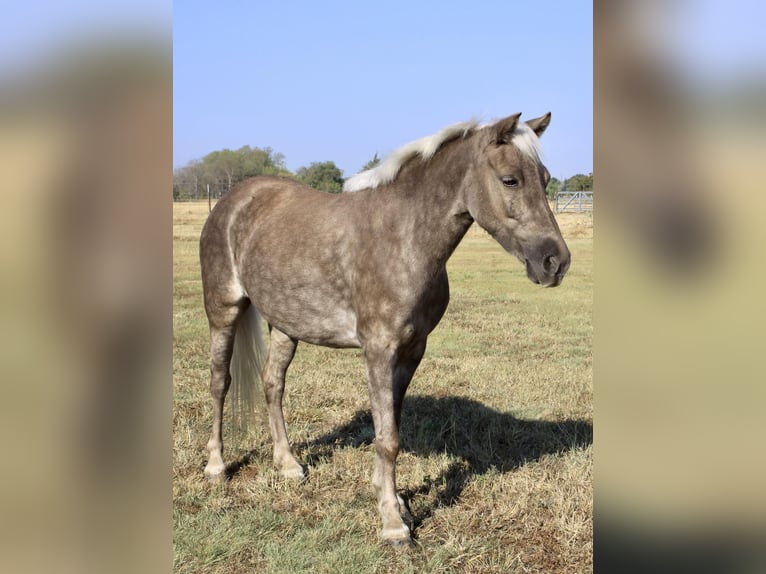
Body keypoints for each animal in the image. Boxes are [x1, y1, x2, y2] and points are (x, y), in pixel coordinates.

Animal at [201, 113, 572, 548]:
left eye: (546, 179)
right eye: (510, 180)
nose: (555, 262)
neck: (402, 237)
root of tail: (233, 200)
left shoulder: (412, 352)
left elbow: (390, 427)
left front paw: (395, 503)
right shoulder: (378, 350)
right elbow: (387, 438)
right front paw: (393, 527)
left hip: (285, 324)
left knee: (272, 383)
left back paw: (289, 465)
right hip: (223, 311)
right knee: (220, 383)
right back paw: (216, 466)